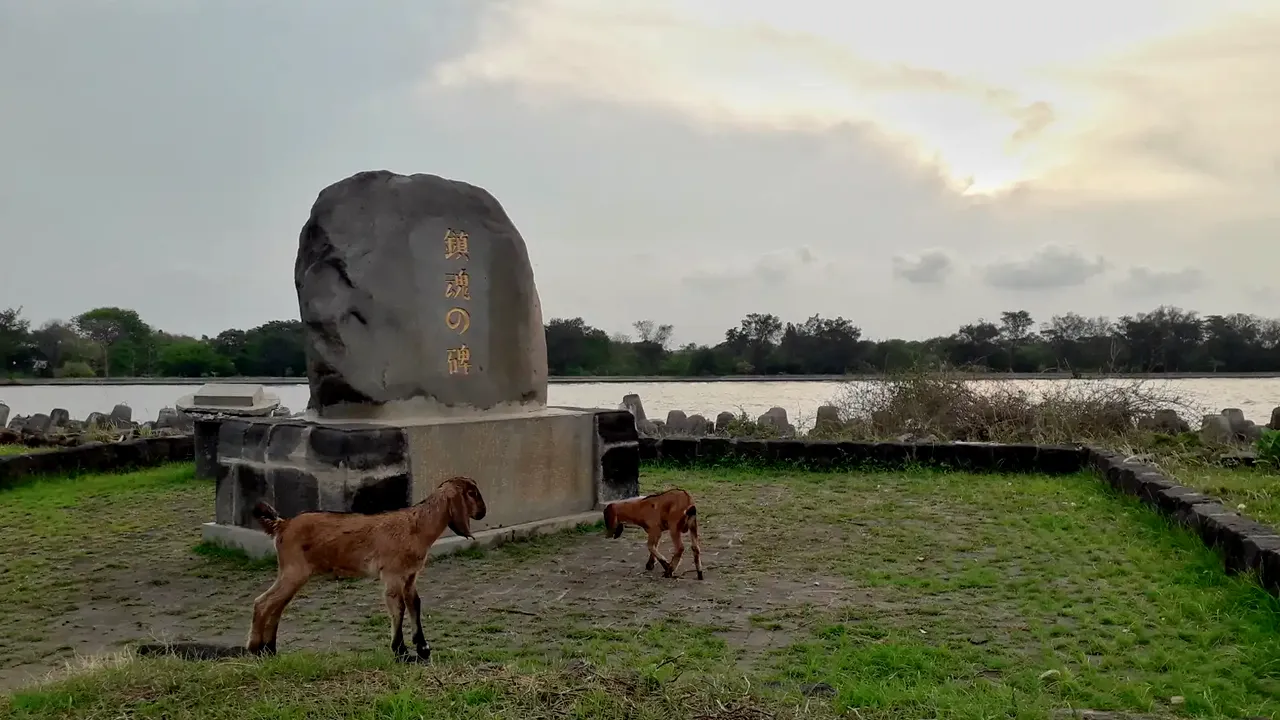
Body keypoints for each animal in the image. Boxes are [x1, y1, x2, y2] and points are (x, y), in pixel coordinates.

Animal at [247, 474, 486, 661]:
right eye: (471, 493)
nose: (483, 512)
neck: (416, 526)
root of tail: (282, 525)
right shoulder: (392, 574)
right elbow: (398, 607)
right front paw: (400, 651)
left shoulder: (410, 576)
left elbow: (414, 604)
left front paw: (423, 648)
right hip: (294, 569)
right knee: (263, 602)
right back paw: (255, 649)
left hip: (293, 572)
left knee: (276, 605)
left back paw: (270, 649)